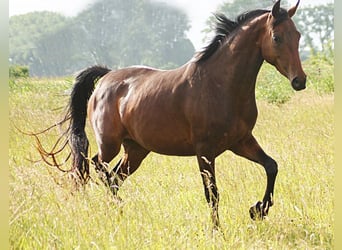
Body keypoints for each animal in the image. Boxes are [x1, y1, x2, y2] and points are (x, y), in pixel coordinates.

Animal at [36, 0, 306, 228]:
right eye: (277, 37)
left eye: (298, 35)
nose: (299, 81)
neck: (220, 85)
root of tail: (106, 78)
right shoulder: (205, 151)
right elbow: (212, 193)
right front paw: (217, 230)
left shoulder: (241, 141)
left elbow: (271, 166)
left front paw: (258, 210)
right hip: (110, 143)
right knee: (98, 167)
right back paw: (118, 209)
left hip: (136, 150)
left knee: (113, 177)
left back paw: (119, 213)